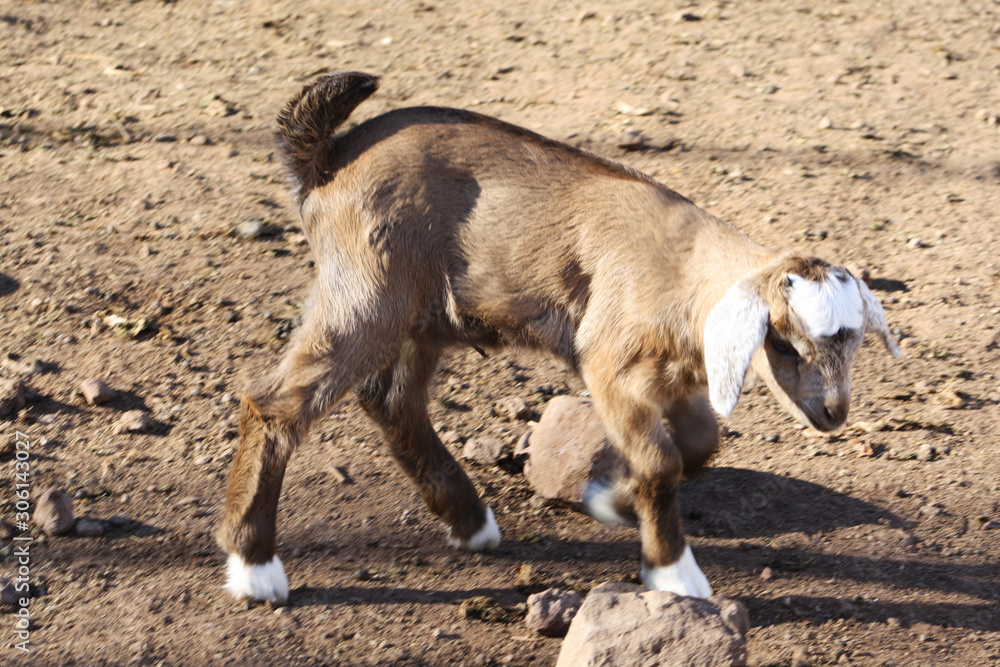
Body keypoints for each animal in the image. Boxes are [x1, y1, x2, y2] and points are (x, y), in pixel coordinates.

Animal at [217, 71, 900, 603]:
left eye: (855, 340)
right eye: (782, 342)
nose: (833, 413)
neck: (682, 270)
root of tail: (327, 160)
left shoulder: (674, 380)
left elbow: (698, 448)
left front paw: (611, 499)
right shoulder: (607, 362)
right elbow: (662, 461)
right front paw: (673, 572)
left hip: (422, 315)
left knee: (392, 400)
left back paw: (470, 522)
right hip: (366, 292)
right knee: (275, 405)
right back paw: (255, 568)